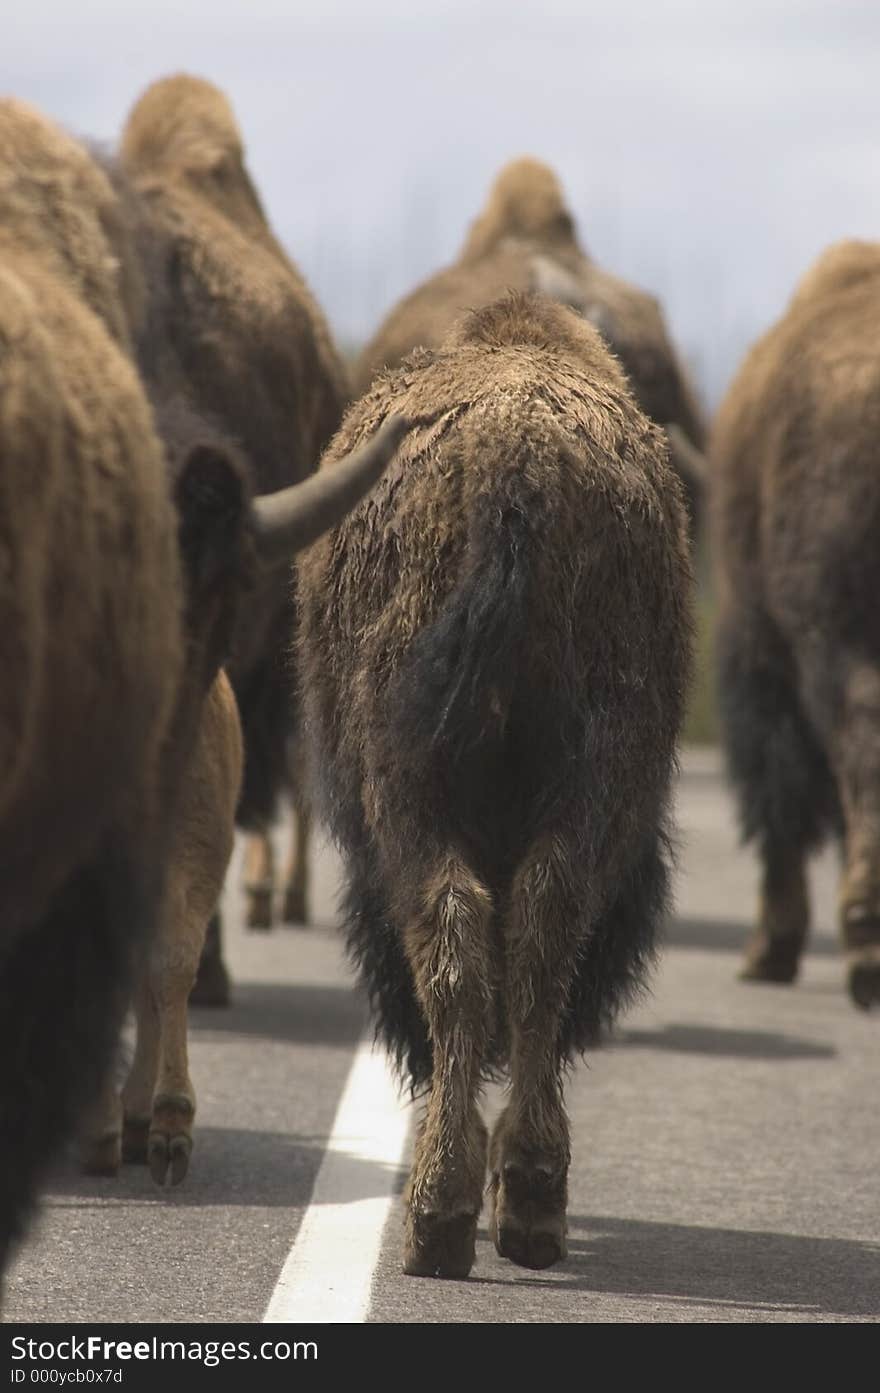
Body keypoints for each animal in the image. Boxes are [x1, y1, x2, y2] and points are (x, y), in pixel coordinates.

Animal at [300, 296, 693, 1281]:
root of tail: (515, 470)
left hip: (412, 798)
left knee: (454, 939)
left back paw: (440, 1217)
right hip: (590, 780)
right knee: (542, 937)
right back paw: (531, 1202)